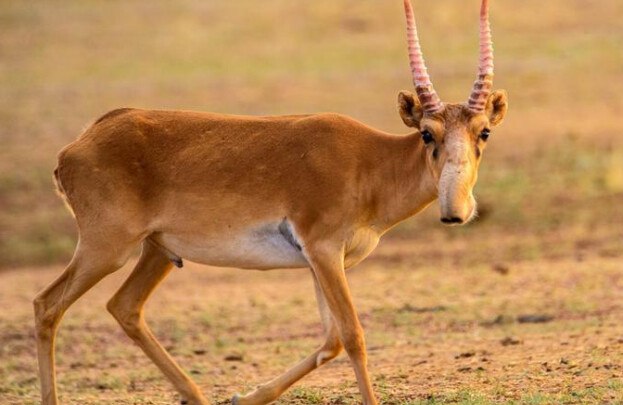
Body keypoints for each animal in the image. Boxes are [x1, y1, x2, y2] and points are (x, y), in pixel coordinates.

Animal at [35, 1, 508, 402]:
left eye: (483, 132)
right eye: (427, 133)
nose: (455, 212)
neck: (371, 161)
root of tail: (78, 144)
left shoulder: (324, 262)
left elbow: (331, 340)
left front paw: (245, 396)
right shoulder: (323, 250)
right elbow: (353, 336)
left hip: (157, 252)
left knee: (124, 307)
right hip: (107, 249)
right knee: (47, 306)